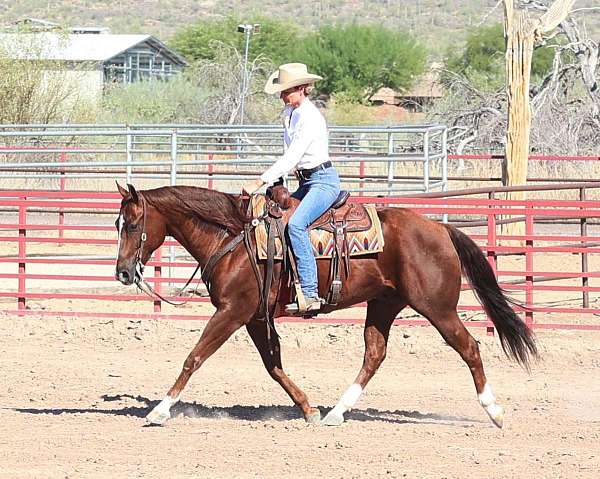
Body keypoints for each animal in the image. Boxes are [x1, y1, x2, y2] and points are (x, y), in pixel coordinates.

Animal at [115, 183, 536, 428]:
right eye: (118, 224)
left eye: (132, 225)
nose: (122, 272)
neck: (234, 236)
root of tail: (440, 228)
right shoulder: (255, 317)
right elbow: (273, 365)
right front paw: (308, 409)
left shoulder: (233, 312)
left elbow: (195, 356)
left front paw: (160, 410)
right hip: (384, 304)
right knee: (374, 354)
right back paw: (336, 412)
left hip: (438, 308)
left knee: (469, 347)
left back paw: (495, 412)